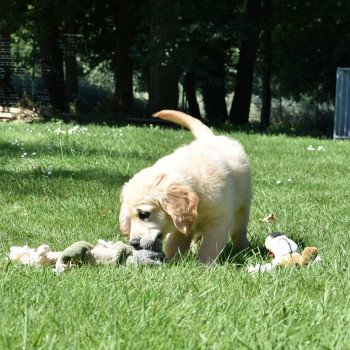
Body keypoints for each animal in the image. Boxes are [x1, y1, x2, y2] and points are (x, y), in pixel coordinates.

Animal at [119, 109, 250, 262]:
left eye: (144, 214)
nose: (133, 243)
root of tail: (210, 138)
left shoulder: (218, 220)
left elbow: (210, 245)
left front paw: (204, 264)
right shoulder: (181, 225)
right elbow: (174, 243)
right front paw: (170, 262)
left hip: (243, 205)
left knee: (238, 230)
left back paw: (244, 248)